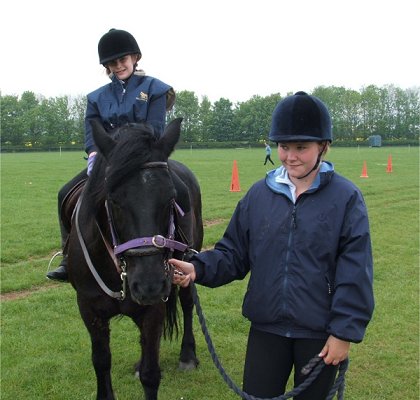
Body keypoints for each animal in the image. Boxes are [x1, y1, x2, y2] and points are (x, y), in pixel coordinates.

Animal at [66, 117, 203, 398]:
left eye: (171, 198)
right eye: (113, 199)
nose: (150, 284)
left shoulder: (153, 310)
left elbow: (151, 375)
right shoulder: (88, 308)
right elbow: (101, 361)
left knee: (187, 304)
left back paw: (187, 355)